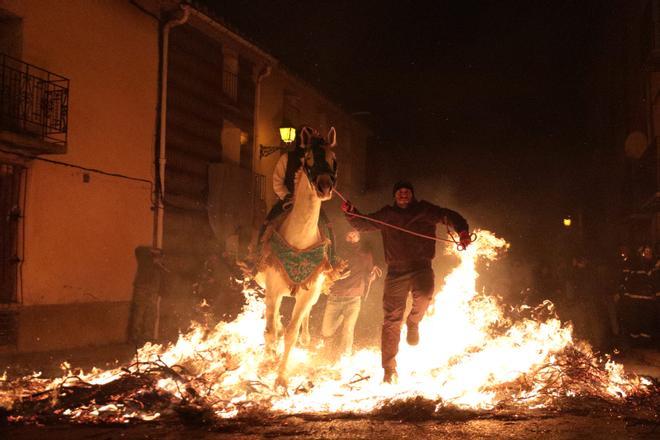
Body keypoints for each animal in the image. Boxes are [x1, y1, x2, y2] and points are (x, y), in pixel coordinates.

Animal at [254, 125, 340, 386]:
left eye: (333, 159)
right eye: (308, 158)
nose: (324, 187)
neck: (299, 240)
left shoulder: (308, 291)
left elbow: (291, 332)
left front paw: (281, 378)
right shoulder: (273, 288)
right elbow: (270, 330)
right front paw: (267, 364)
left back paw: (304, 337)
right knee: (272, 321)